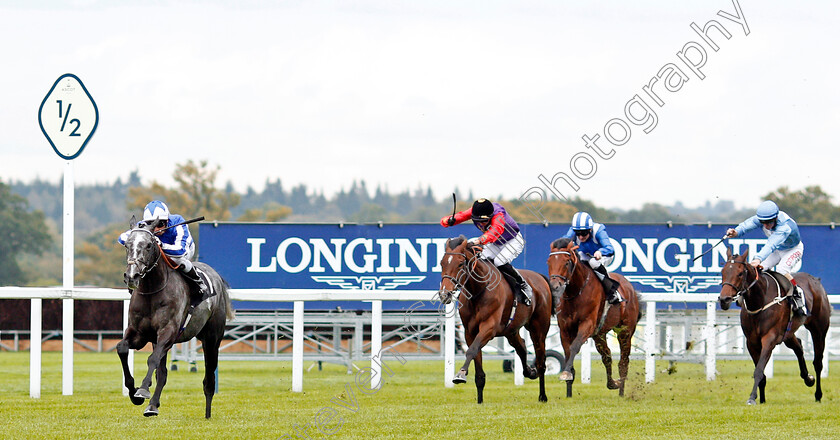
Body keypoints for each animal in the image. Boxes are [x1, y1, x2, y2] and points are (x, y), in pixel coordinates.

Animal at [116, 222, 235, 418]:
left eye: (149, 245)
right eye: (127, 245)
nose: (132, 276)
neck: (152, 291)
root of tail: (216, 276)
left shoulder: (169, 332)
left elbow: (152, 360)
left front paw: (142, 390)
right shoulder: (139, 334)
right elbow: (123, 349)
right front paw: (134, 394)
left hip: (212, 339)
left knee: (209, 378)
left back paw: (207, 413)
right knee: (162, 373)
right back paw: (153, 405)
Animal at [436, 235, 556, 404]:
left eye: (460, 263)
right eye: (442, 263)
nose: (444, 294)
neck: (479, 291)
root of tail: (540, 277)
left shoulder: (489, 328)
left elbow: (471, 350)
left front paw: (460, 374)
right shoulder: (470, 332)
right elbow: (477, 365)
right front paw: (479, 401)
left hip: (539, 329)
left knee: (541, 362)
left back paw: (542, 395)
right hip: (511, 330)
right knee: (521, 347)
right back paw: (529, 372)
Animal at [548, 239, 640, 398]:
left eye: (566, 262)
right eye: (549, 262)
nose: (554, 286)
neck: (575, 292)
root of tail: (629, 287)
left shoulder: (587, 324)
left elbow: (574, 347)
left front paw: (565, 374)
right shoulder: (565, 329)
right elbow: (568, 353)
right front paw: (568, 390)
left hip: (625, 331)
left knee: (623, 361)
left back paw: (621, 391)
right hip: (599, 334)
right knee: (607, 356)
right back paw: (613, 383)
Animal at [720, 249, 832, 404]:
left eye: (740, 273)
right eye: (722, 271)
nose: (724, 300)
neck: (760, 301)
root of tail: (816, 280)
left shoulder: (770, 339)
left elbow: (759, 369)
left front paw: (752, 398)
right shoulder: (751, 342)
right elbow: (760, 372)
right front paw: (761, 399)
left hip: (819, 330)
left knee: (818, 362)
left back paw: (818, 395)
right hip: (788, 333)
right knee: (798, 347)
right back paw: (808, 378)